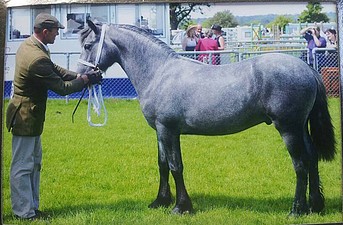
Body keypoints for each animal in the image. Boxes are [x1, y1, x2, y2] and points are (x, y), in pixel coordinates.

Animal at [77, 21, 336, 216]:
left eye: (88, 45)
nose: (81, 75)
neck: (159, 72)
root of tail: (307, 69)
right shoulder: (160, 131)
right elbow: (162, 164)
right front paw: (160, 201)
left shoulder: (168, 130)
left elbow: (175, 166)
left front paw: (181, 207)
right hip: (301, 128)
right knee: (312, 159)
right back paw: (315, 206)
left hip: (289, 129)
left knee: (300, 164)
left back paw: (297, 209)